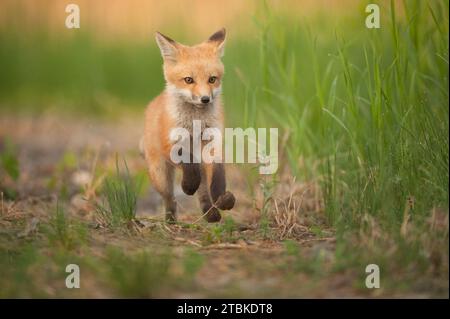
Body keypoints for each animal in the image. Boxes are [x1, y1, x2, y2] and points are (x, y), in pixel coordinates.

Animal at [141, 28, 236, 224]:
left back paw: (211, 213)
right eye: (188, 80)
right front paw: (188, 185)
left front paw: (222, 198)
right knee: (170, 199)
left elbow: (218, 178)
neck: (195, 124)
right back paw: (170, 220)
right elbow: (188, 160)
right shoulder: (171, 143)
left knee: (203, 191)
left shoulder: (213, 144)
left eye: (212, 79)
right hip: (160, 176)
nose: (205, 99)